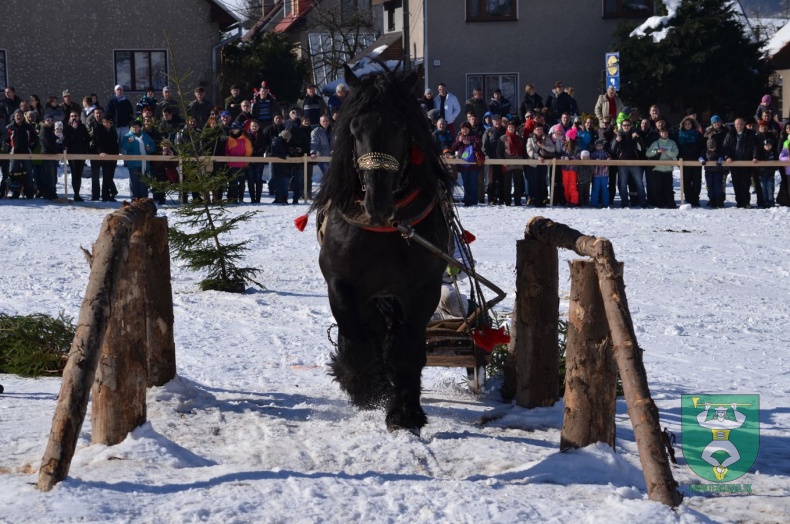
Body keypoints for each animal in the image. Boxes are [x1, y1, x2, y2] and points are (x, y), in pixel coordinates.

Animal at [312, 65, 454, 432]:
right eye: (354, 126)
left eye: (400, 126)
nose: (377, 202)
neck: (384, 228)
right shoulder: (341, 284)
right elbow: (356, 340)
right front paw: (365, 386)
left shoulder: (424, 289)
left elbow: (407, 350)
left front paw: (405, 412)